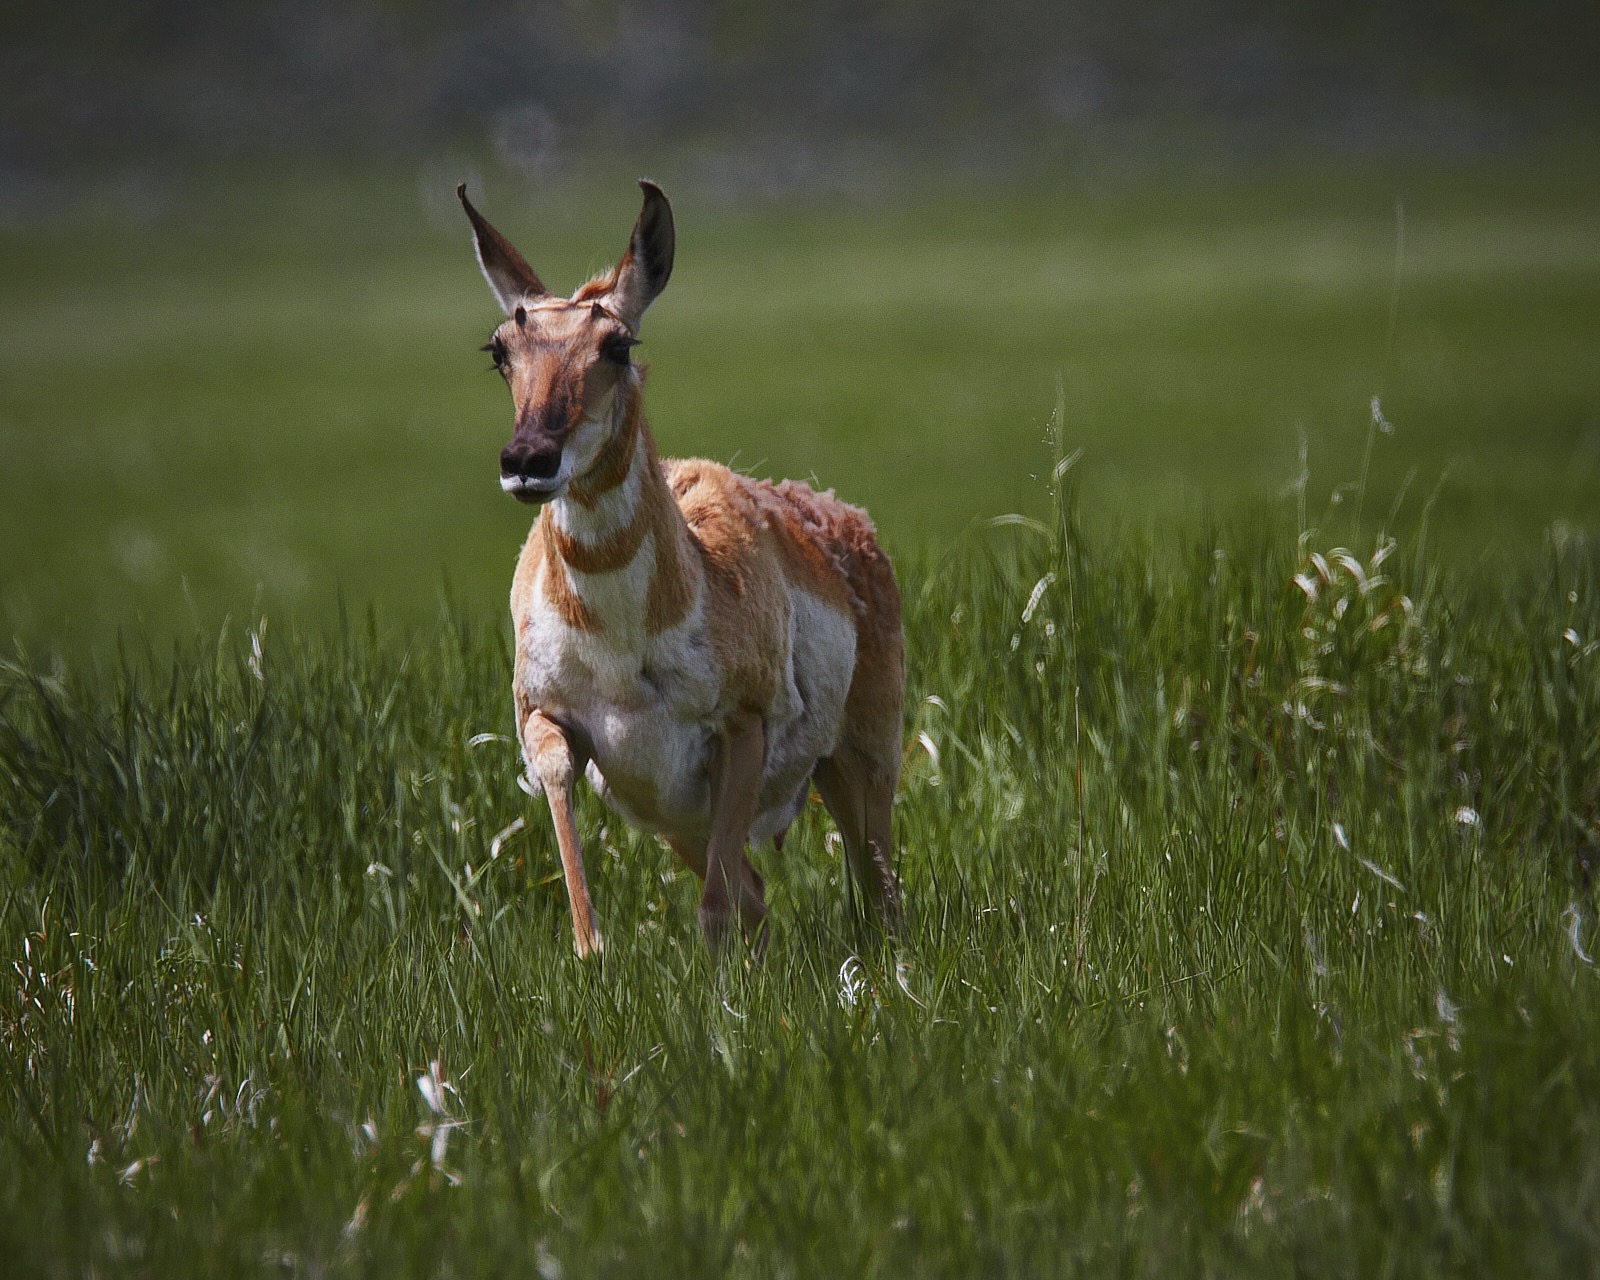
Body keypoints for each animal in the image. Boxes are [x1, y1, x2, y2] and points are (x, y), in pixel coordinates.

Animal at [457, 180, 904, 958]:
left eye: (617, 344)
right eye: (500, 349)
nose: (527, 461)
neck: (621, 651)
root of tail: (844, 519)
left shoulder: (741, 729)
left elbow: (716, 910)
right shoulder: (548, 720)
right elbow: (578, 852)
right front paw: (593, 957)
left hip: (860, 760)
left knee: (877, 887)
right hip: (675, 817)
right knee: (759, 891)